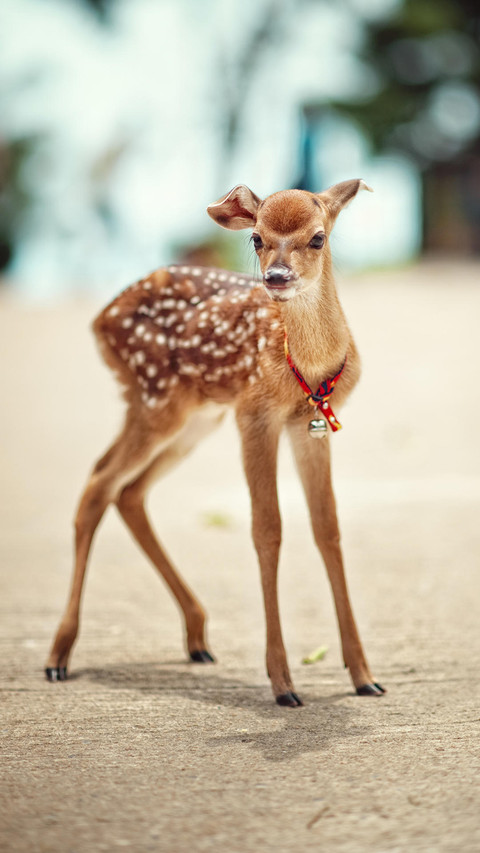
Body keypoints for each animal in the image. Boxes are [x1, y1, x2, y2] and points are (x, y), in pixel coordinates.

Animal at [45, 179, 385, 706]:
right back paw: (59, 655)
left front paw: (364, 675)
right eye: (256, 238)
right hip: (155, 401)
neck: (307, 367)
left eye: (318, 237)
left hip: (195, 419)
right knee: (99, 482)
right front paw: (283, 683)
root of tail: (99, 319)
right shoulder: (255, 415)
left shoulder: (310, 426)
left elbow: (327, 527)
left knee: (129, 491)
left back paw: (197, 638)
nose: (277, 277)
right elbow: (267, 529)